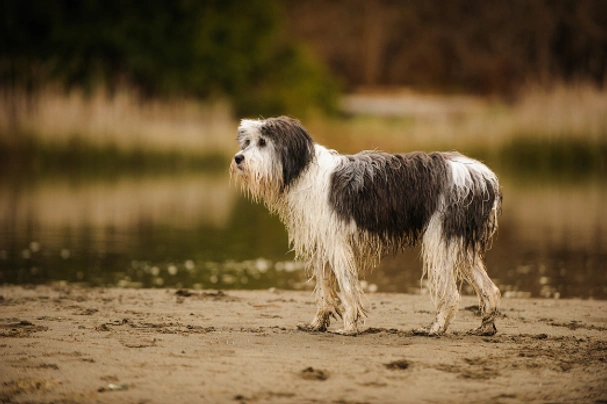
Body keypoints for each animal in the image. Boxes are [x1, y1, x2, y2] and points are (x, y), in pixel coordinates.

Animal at [230, 115, 502, 336]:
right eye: (247, 142)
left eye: (263, 142)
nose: (238, 158)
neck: (304, 172)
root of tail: (484, 176)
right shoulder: (322, 246)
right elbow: (325, 290)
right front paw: (318, 323)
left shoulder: (337, 243)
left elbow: (347, 287)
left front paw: (349, 326)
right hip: (461, 246)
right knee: (490, 289)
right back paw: (486, 327)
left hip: (440, 242)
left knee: (452, 295)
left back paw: (436, 328)